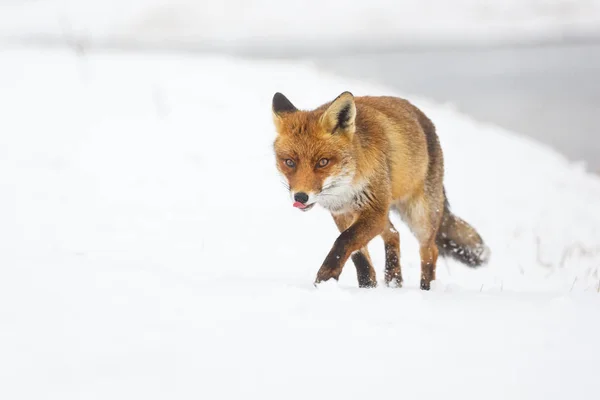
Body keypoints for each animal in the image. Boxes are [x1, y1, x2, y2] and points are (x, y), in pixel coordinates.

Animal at [272, 92, 488, 290]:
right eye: (289, 162)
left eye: (323, 162)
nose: (301, 196)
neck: (346, 187)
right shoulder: (343, 213)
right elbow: (358, 254)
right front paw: (367, 285)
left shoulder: (373, 210)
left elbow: (344, 241)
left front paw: (325, 279)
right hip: (386, 211)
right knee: (394, 234)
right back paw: (394, 281)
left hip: (418, 215)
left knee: (430, 250)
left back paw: (425, 288)